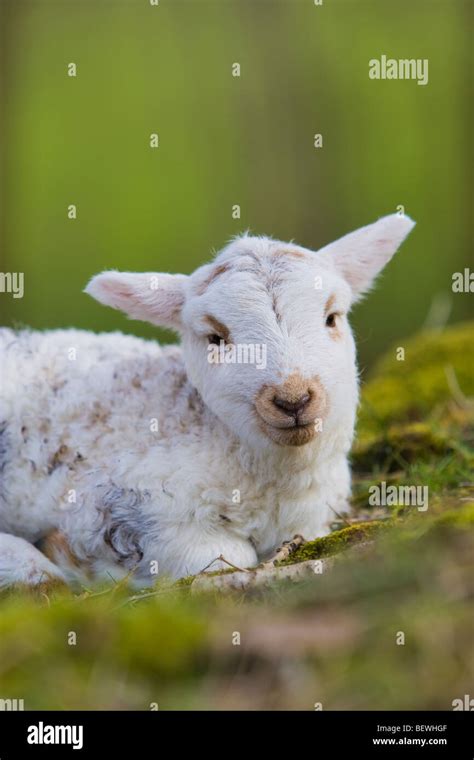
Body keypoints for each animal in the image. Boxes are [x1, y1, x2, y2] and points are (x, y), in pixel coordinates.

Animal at [0, 214, 414, 588]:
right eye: (216, 338)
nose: (293, 399)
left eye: (332, 318)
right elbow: (227, 557)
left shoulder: (311, 523)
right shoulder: (115, 507)